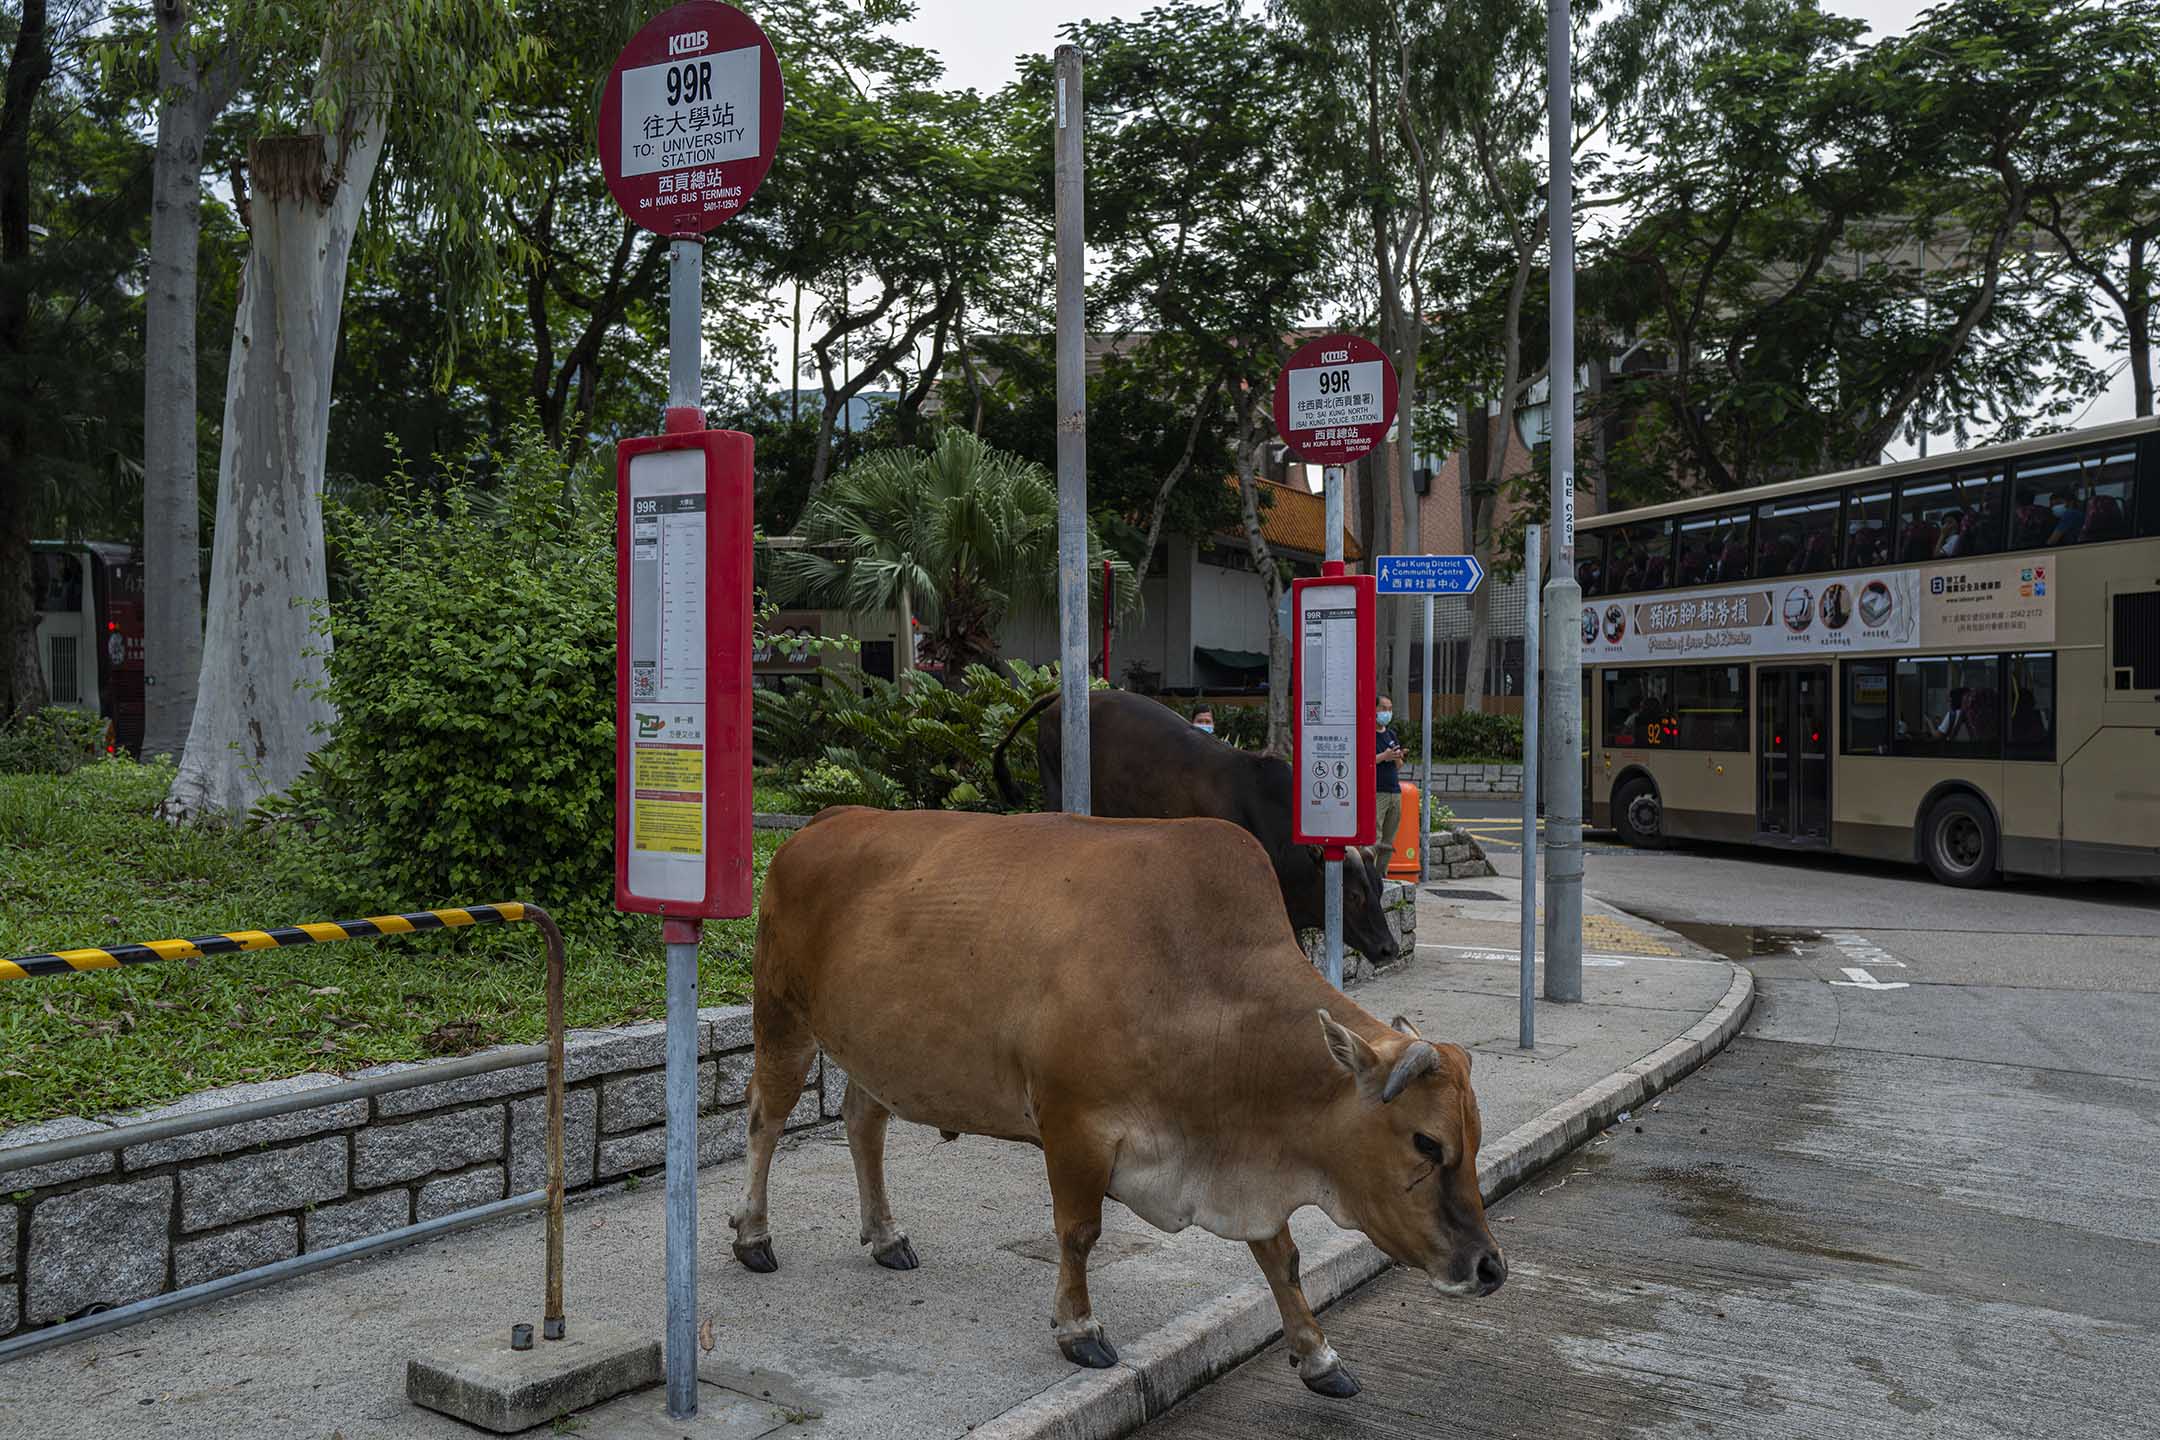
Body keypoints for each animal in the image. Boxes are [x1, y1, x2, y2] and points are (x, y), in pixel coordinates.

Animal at [725, 811, 1503, 1398]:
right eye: (1426, 1143)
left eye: (1473, 1136)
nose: (1490, 1268)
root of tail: (819, 825)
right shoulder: (1075, 1127)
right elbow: (1078, 1233)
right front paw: (1080, 1330)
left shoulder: (1242, 1155)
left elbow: (1279, 1256)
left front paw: (1318, 1354)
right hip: (782, 1016)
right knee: (765, 1118)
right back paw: (753, 1236)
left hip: (875, 1050)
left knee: (863, 1121)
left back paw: (887, 1236)